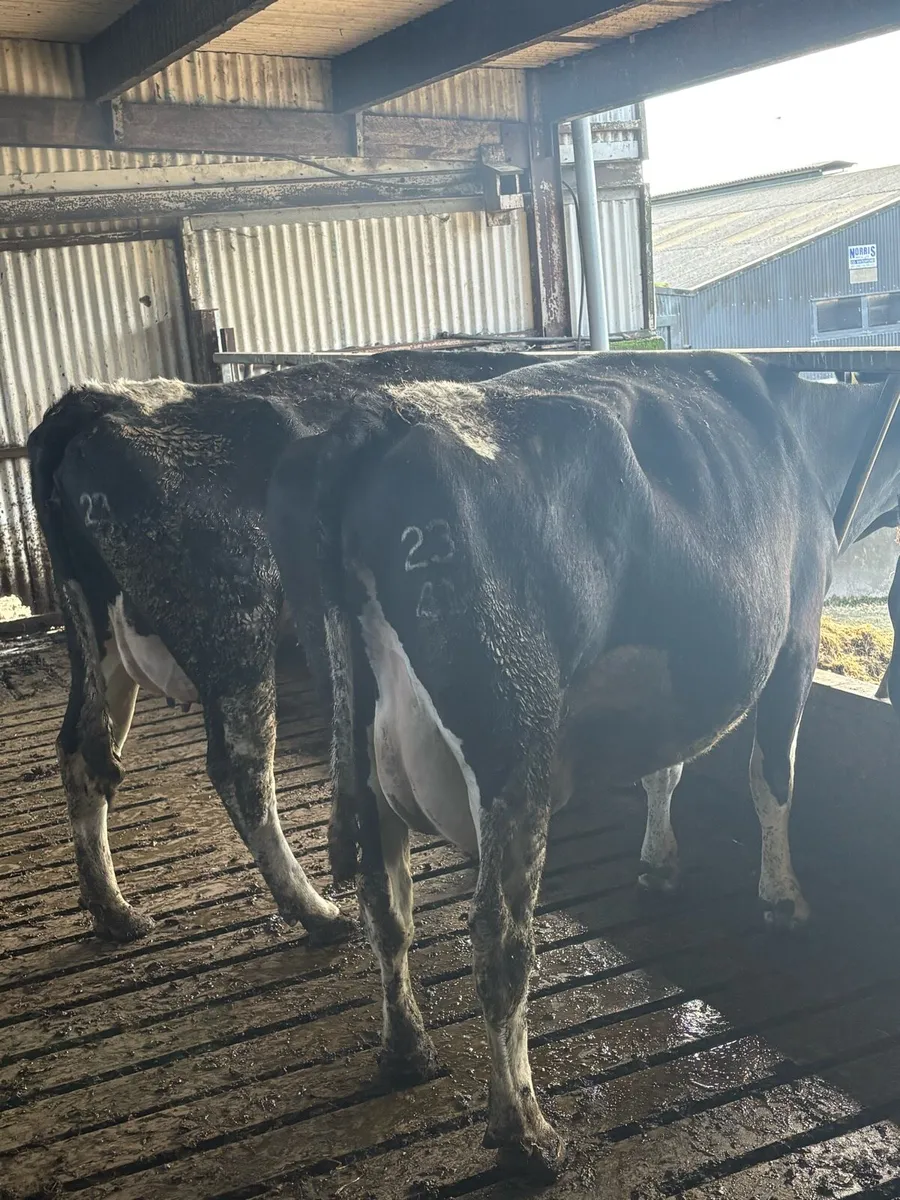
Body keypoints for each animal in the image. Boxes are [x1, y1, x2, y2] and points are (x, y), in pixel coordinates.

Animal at [26, 349, 542, 945]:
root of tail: (97, 399)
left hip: (99, 637)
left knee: (79, 750)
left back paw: (114, 911)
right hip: (237, 622)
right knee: (243, 770)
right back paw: (315, 910)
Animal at [265, 352, 900, 1179]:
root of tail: (375, 420)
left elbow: (666, 768)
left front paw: (660, 864)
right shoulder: (798, 624)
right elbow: (773, 777)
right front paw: (784, 901)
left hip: (369, 756)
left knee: (386, 903)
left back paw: (406, 1048)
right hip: (513, 743)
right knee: (499, 939)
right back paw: (527, 1129)